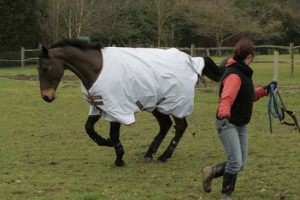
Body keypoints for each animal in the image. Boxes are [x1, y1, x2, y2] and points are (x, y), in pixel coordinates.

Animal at [38, 38, 225, 166]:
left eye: (46, 68)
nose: (46, 97)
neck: (97, 68)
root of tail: (192, 60)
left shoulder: (117, 107)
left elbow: (114, 134)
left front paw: (119, 157)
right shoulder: (98, 105)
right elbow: (89, 129)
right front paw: (105, 142)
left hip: (175, 104)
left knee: (180, 126)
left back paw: (164, 155)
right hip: (157, 104)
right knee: (165, 125)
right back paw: (150, 154)